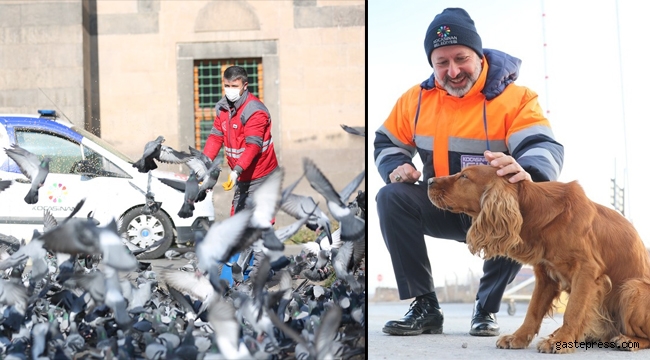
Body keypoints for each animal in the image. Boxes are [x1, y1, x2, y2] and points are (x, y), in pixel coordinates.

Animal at [426, 165, 648, 352]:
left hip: (632, 288)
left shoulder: (587, 271)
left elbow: (573, 310)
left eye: (464, 176)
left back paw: (627, 340)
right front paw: (518, 338)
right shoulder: (545, 276)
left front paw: (561, 341)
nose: (428, 180)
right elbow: (533, 310)